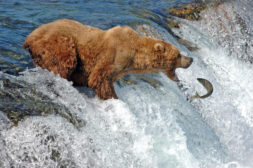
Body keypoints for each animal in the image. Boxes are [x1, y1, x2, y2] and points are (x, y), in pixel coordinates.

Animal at [23, 19, 193, 100]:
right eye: (178, 54)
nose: (190, 59)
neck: (135, 55)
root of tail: (29, 37)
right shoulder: (113, 56)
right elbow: (99, 78)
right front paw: (113, 97)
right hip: (57, 41)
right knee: (66, 60)